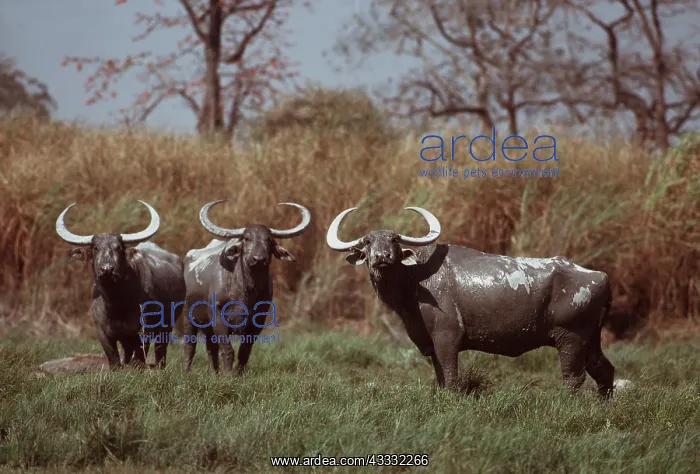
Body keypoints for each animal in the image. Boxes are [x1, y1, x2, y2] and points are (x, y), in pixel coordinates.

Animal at [56, 200, 186, 369]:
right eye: (96, 248)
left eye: (118, 247)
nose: (107, 269)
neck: (117, 305)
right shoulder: (103, 333)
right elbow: (114, 360)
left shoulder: (143, 330)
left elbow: (139, 359)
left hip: (167, 325)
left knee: (160, 349)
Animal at [182, 200, 311, 374]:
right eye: (247, 238)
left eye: (268, 239)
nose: (258, 258)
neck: (246, 290)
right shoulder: (218, 318)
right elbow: (227, 350)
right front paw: (228, 375)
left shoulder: (257, 322)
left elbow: (244, 351)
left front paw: (239, 375)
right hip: (188, 316)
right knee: (190, 344)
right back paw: (187, 371)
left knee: (211, 347)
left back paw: (214, 373)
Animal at [326, 206, 618, 398]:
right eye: (367, 241)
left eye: (394, 239)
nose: (382, 257)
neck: (417, 279)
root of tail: (600, 276)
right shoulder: (430, 343)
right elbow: (440, 377)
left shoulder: (447, 338)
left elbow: (451, 377)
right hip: (590, 340)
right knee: (604, 370)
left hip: (571, 338)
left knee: (574, 377)